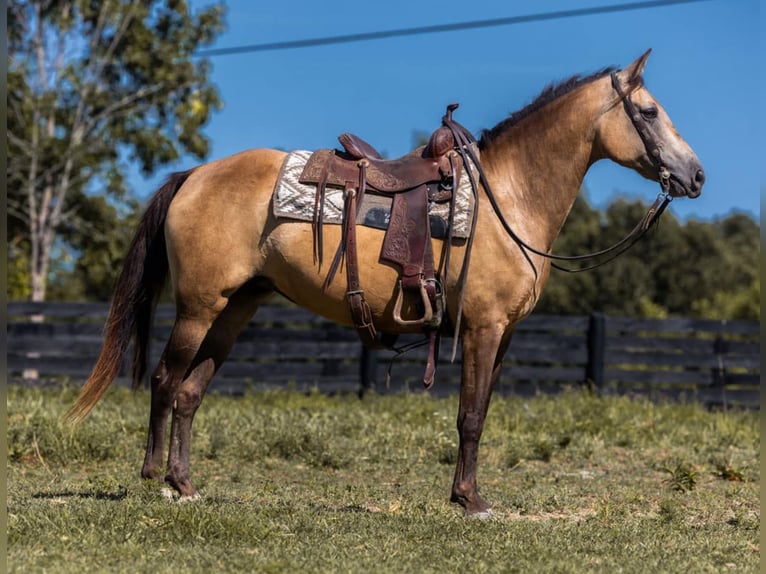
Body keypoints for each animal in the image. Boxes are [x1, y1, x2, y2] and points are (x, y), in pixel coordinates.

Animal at [67, 50, 704, 516]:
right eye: (648, 112)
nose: (696, 175)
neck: (508, 197)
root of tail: (194, 174)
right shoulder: (483, 328)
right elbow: (470, 416)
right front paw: (470, 502)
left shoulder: (504, 334)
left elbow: (480, 411)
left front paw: (465, 494)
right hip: (200, 307)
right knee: (165, 380)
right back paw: (155, 478)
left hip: (235, 309)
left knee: (190, 393)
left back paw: (186, 484)